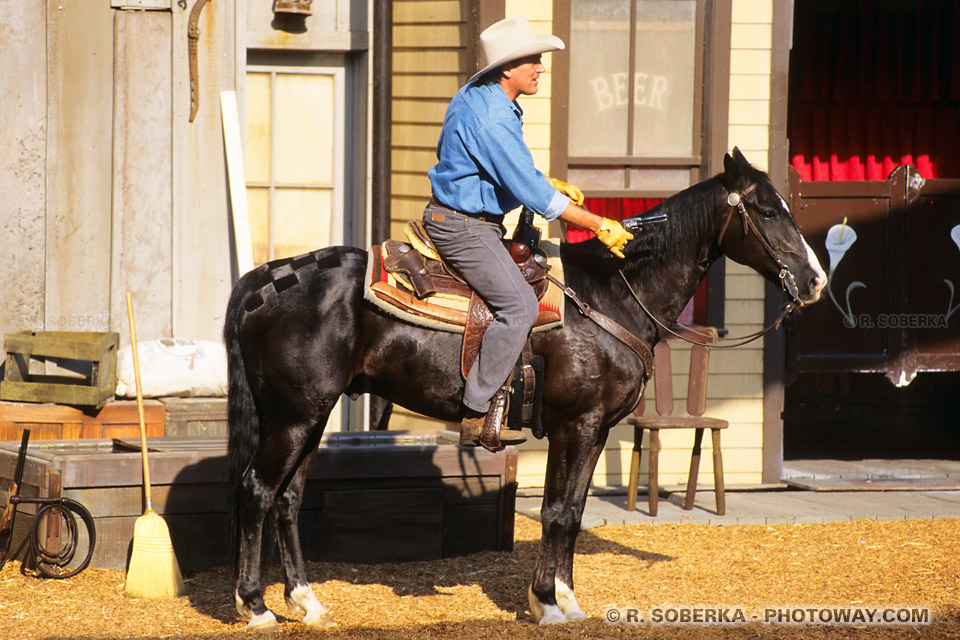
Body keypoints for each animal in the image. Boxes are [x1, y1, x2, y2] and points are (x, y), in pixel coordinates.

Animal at [223, 149, 824, 632]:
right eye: (767, 211)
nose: (815, 279)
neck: (609, 295)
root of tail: (264, 281)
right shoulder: (573, 425)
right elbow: (556, 511)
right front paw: (547, 603)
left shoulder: (596, 430)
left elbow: (575, 511)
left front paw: (566, 599)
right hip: (293, 416)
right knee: (258, 490)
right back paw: (255, 607)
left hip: (311, 414)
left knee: (288, 498)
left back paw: (307, 602)